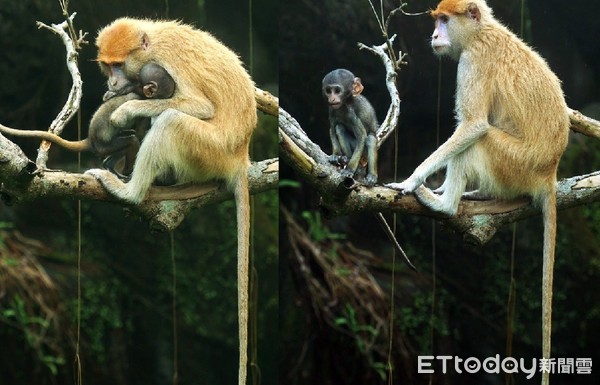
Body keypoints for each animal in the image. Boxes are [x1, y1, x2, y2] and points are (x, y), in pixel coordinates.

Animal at [88, 18, 256, 384]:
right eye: (108, 65)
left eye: (119, 65)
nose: (112, 80)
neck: (153, 40)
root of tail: (239, 156)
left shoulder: (170, 63)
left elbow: (199, 107)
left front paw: (125, 108)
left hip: (207, 149)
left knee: (171, 121)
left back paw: (130, 190)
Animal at [386, 2, 568, 380]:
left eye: (444, 20)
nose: (435, 35)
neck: (482, 31)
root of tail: (548, 172)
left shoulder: (474, 61)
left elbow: (473, 126)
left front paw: (412, 181)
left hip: (514, 162)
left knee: (480, 139)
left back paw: (445, 204)